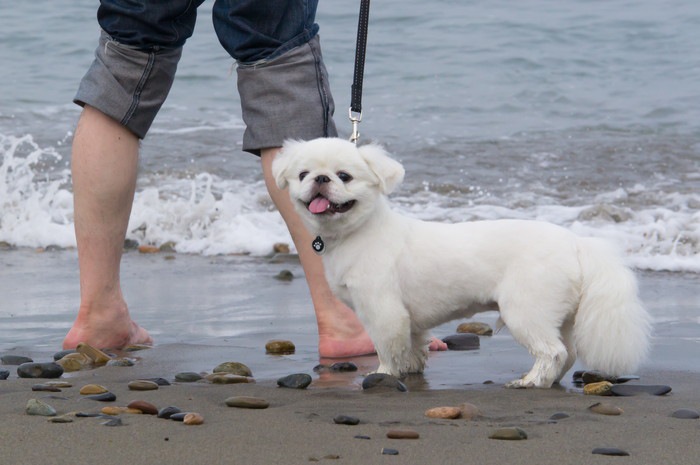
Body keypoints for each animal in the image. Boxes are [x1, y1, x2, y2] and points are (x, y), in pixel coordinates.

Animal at [272, 138, 652, 388]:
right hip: (561, 317)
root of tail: (577, 244)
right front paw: (412, 370)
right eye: (304, 174)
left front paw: (383, 375)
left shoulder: (383, 311)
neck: (358, 233)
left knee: (553, 352)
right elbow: (413, 345)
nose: (321, 179)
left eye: (344, 176)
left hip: (525, 311)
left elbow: (387, 349)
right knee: (568, 353)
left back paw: (531, 381)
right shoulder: (409, 319)